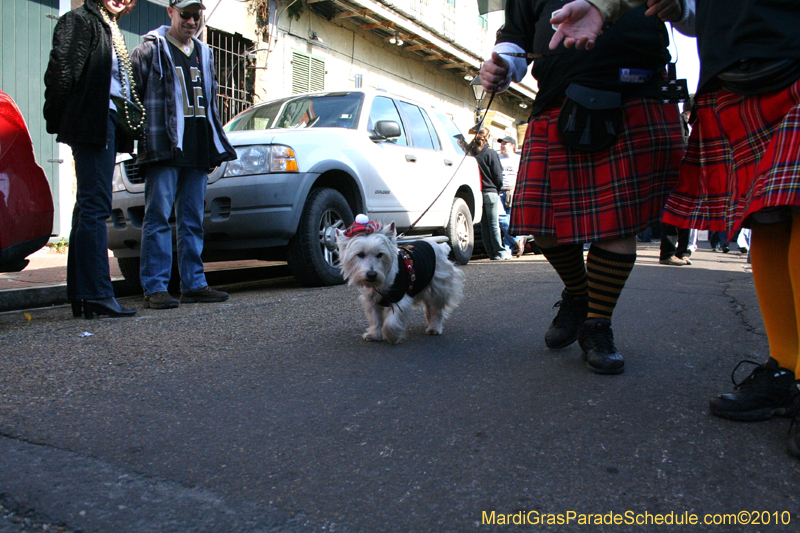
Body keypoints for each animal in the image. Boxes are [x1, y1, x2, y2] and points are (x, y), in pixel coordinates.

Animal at [334, 214, 466, 342]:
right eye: (360, 254)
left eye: (380, 254)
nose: (371, 274)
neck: (380, 282)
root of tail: (440, 247)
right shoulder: (370, 299)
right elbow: (375, 318)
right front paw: (374, 334)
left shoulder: (400, 298)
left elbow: (391, 322)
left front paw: (391, 336)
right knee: (429, 306)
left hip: (440, 286)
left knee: (438, 308)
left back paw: (434, 327)